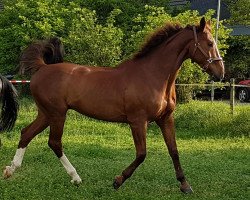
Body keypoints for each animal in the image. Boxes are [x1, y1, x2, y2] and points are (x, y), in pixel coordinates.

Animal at [3, 17, 224, 194]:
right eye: (210, 42)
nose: (220, 72)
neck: (152, 76)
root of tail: (42, 68)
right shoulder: (138, 121)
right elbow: (141, 154)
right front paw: (118, 181)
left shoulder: (165, 118)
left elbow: (174, 151)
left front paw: (185, 186)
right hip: (57, 114)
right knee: (54, 142)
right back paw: (76, 178)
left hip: (46, 114)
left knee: (26, 133)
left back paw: (10, 170)